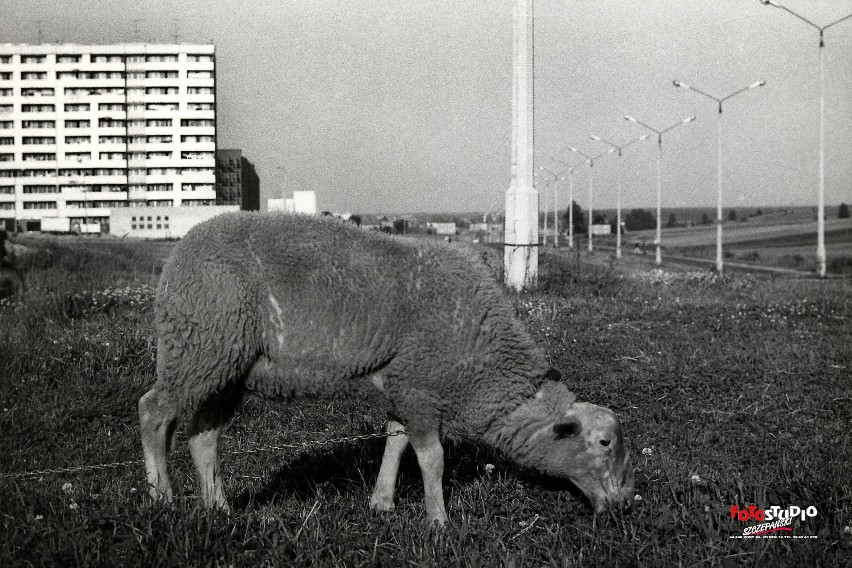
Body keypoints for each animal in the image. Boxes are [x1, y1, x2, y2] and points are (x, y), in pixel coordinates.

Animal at [140, 214, 632, 524]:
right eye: (604, 443)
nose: (627, 503)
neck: (486, 365)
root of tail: (181, 249)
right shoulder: (419, 386)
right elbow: (432, 458)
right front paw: (439, 521)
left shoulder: (402, 385)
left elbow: (395, 442)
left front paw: (381, 503)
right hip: (199, 346)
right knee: (154, 412)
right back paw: (162, 498)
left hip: (225, 366)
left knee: (202, 433)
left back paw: (219, 509)